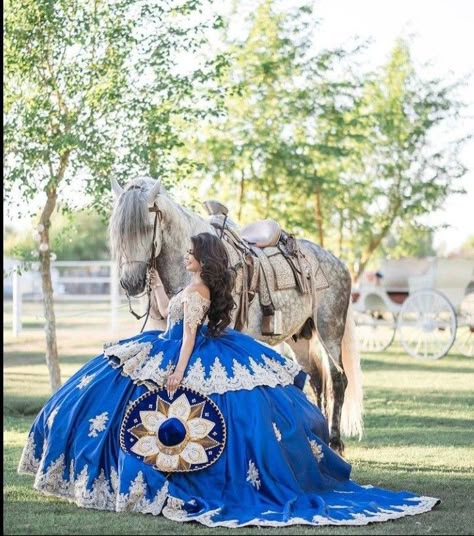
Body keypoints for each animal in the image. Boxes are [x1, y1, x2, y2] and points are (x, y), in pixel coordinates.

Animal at [110, 176, 362, 452]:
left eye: (146, 228)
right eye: (117, 231)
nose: (131, 283)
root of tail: (337, 261)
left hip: (329, 331)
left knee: (338, 380)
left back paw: (335, 441)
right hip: (300, 338)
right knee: (316, 380)